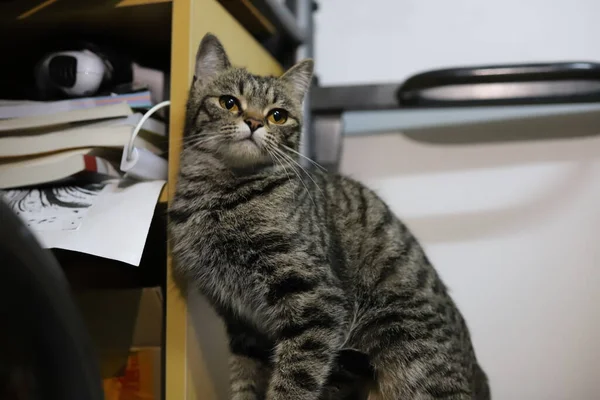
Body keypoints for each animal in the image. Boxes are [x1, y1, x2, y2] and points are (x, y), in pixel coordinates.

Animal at [168, 32, 488, 398]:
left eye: (277, 115)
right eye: (229, 102)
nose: (254, 122)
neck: (220, 197)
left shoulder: (316, 302)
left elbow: (294, 381)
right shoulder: (239, 322)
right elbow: (245, 381)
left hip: (403, 348)